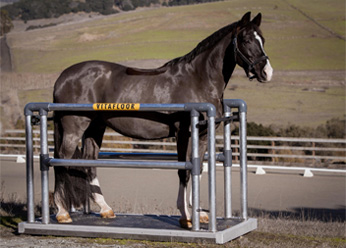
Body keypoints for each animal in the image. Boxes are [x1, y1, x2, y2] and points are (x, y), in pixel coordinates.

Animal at [52, 12, 274, 229]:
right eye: (246, 40)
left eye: (262, 39)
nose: (267, 72)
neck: (198, 79)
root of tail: (63, 77)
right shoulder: (183, 134)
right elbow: (184, 171)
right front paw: (186, 216)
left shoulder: (202, 135)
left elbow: (197, 169)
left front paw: (197, 213)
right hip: (74, 128)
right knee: (61, 160)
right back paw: (63, 213)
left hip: (95, 127)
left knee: (89, 162)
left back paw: (106, 209)